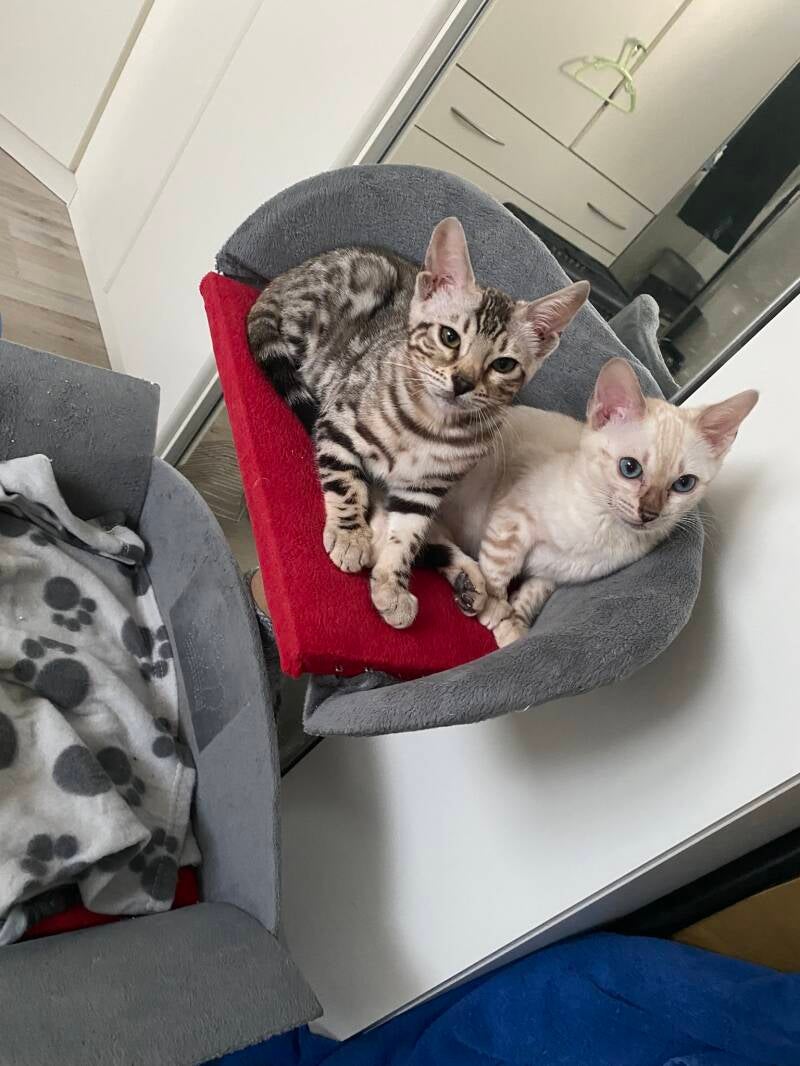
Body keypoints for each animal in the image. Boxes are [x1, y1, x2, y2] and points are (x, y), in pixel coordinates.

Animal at [247, 217, 589, 629]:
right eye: (449, 336)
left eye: (504, 364)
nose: (463, 382)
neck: (431, 427)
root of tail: (284, 278)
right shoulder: (338, 420)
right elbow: (346, 483)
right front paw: (350, 536)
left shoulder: (423, 491)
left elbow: (407, 537)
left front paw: (392, 584)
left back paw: (468, 578)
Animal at [409, 356, 758, 646]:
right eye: (629, 468)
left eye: (684, 484)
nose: (649, 513)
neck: (601, 534)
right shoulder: (511, 519)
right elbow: (499, 575)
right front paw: (498, 614)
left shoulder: (549, 576)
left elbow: (529, 597)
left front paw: (516, 629)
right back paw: (473, 589)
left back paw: (467, 585)